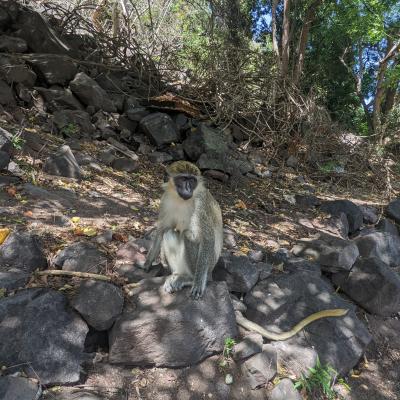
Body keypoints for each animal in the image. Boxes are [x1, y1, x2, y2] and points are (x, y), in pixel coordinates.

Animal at [144, 161, 223, 298]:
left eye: (192, 180)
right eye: (183, 179)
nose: (188, 188)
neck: (181, 200)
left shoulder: (201, 203)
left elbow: (207, 238)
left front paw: (197, 284)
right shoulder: (165, 200)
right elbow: (161, 230)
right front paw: (148, 262)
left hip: (209, 265)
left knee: (187, 235)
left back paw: (190, 279)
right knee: (169, 232)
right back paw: (176, 276)